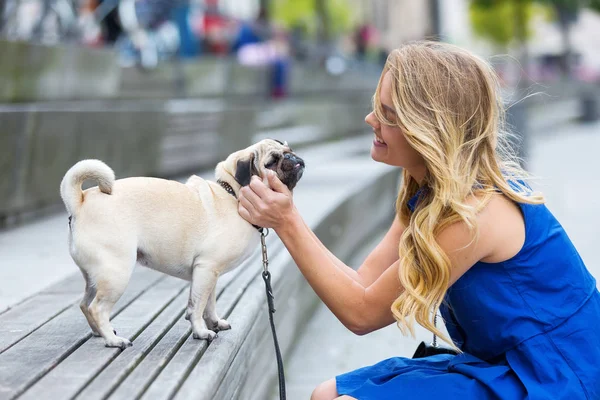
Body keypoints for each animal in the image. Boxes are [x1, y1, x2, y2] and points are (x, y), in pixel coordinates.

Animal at [60, 139, 304, 348]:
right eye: (271, 162)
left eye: (289, 150)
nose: (292, 158)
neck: (233, 195)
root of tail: (80, 201)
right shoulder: (207, 269)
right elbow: (196, 307)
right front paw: (201, 332)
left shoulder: (209, 273)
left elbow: (209, 303)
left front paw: (214, 322)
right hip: (116, 272)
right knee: (97, 308)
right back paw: (112, 340)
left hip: (96, 275)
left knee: (85, 304)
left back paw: (99, 332)